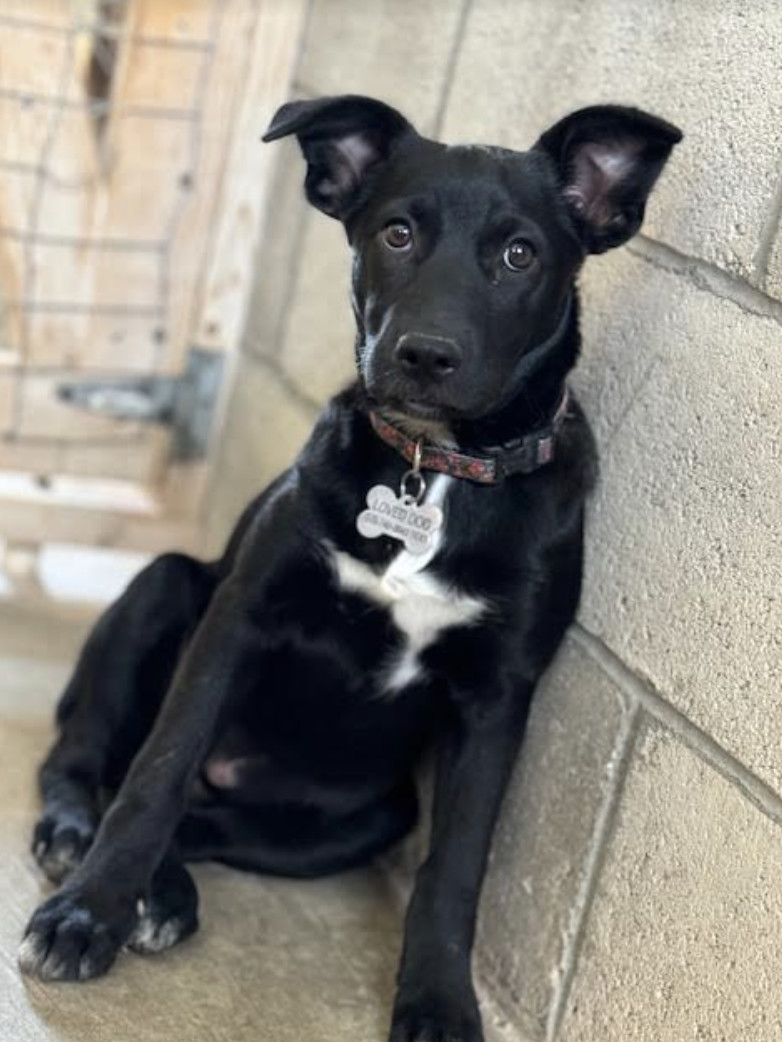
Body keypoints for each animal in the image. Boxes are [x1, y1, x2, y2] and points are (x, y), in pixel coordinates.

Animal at [18, 97, 679, 1042]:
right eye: (397, 233)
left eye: (520, 254)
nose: (425, 355)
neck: (432, 470)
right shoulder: (241, 614)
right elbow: (155, 772)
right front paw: (87, 914)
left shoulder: (498, 698)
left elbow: (456, 869)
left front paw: (439, 1002)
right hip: (168, 584)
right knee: (96, 761)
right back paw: (82, 838)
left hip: (371, 816)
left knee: (204, 820)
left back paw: (168, 895)